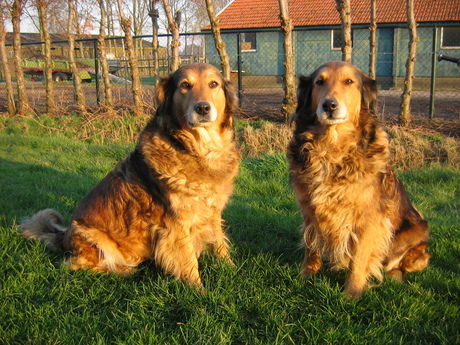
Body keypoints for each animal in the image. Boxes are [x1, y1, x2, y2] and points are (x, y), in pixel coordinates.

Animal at [19, 62, 241, 288]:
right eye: (185, 85)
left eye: (213, 84)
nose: (202, 108)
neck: (199, 150)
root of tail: (63, 237)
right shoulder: (175, 223)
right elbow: (187, 260)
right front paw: (198, 290)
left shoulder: (212, 210)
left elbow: (219, 241)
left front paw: (231, 269)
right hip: (92, 237)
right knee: (76, 265)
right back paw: (122, 270)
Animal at [288, 61, 432, 296]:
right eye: (319, 82)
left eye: (349, 81)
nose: (329, 105)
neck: (332, 147)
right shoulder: (309, 210)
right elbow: (311, 246)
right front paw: (306, 276)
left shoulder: (369, 219)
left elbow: (359, 258)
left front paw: (352, 293)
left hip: (415, 233)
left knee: (398, 264)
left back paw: (394, 276)